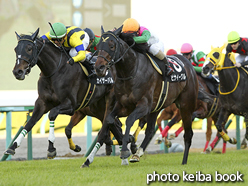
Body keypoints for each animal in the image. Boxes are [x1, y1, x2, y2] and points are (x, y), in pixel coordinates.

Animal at [4, 28, 115, 158]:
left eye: (29, 48)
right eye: (15, 49)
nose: (18, 72)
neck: (54, 71)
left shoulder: (70, 105)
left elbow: (52, 114)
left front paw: (51, 148)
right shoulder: (42, 102)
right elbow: (30, 122)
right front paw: (12, 147)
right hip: (98, 106)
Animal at [87, 25, 198, 166]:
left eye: (111, 46)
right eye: (99, 45)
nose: (99, 68)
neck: (131, 71)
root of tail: (188, 63)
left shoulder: (144, 105)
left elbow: (129, 120)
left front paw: (125, 150)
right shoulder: (123, 105)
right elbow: (110, 119)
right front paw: (129, 143)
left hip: (185, 106)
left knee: (188, 133)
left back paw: (184, 161)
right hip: (156, 107)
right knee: (150, 131)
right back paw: (137, 153)